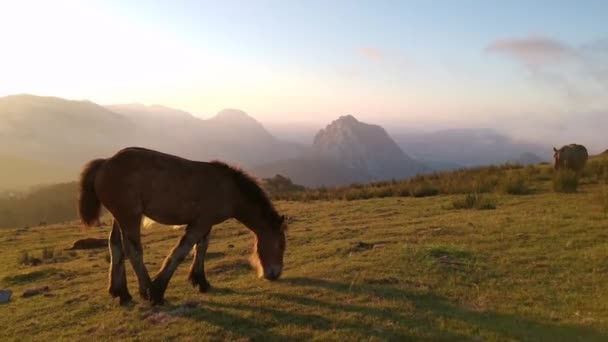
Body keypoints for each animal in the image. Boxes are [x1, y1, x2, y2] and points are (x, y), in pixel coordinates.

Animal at [78, 147, 288, 304]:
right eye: (281, 245)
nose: (275, 273)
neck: (229, 189)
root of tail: (105, 162)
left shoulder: (206, 223)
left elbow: (201, 249)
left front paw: (201, 281)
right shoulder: (200, 223)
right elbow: (181, 251)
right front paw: (159, 289)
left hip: (119, 218)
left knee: (115, 247)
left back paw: (121, 292)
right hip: (130, 217)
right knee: (133, 251)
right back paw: (147, 290)